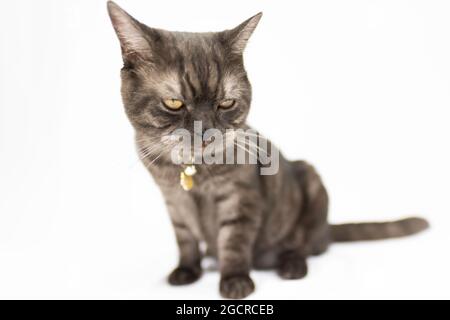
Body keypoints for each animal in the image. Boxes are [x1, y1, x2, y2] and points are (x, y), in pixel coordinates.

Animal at [106, 1, 428, 298]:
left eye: (226, 103)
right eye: (174, 103)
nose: (207, 132)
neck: (192, 171)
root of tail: (328, 230)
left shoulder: (240, 197)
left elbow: (234, 241)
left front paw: (235, 280)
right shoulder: (174, 201)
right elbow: (185, 238)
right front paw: (187, 270)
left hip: (311, 183)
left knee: (303, 244)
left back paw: (291, 265)